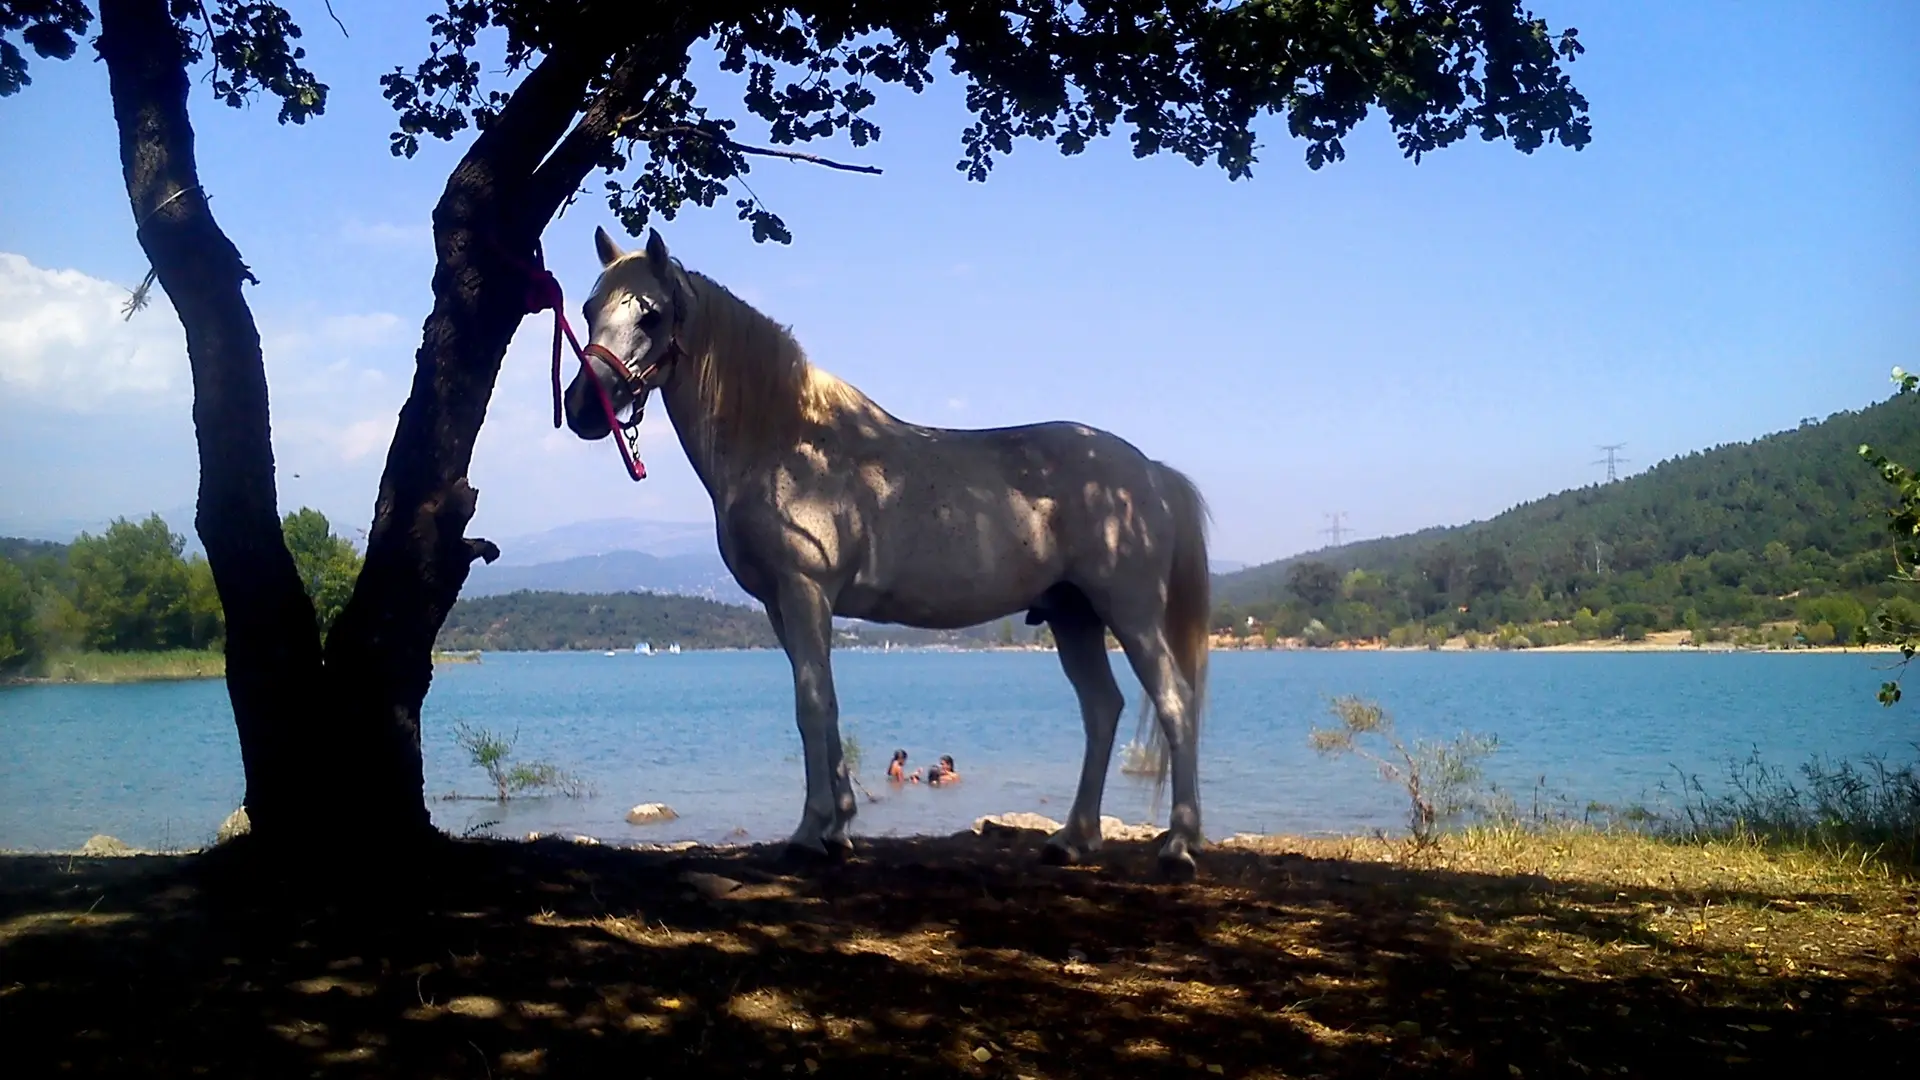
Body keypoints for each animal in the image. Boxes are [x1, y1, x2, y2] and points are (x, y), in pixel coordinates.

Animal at [560, 226, 1205, 876]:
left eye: (651, 315)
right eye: (587, 310)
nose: (582, 408)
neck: (786, 444)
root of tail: (1150, 473)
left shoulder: (805, 591)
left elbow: (810, 704)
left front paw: (810, 830)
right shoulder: (782, 605)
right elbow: (825, 702)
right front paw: (839, 828)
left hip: (1131, 613)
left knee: (1175, 703)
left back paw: (1178, 843)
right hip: (1073, 616)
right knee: (1102, 709)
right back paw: (1072, 838)